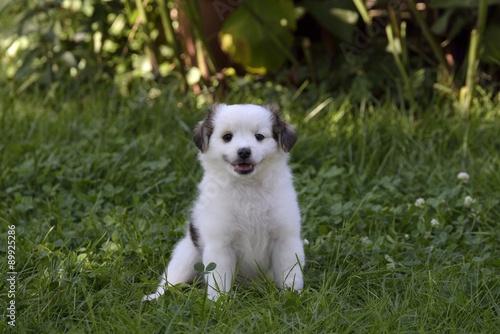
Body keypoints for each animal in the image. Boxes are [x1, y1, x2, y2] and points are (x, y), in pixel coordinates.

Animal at [143, 103, 302, 300]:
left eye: (259, 136)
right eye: (227, 137)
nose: (244, 151)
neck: (247, 187)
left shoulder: (286, 239)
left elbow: (291, 272)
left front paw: (292, 297)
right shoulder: (220, 244)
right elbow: (219, 279)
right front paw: (218, 302)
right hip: (186, 254)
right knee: (171, 279)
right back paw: (155, 297)